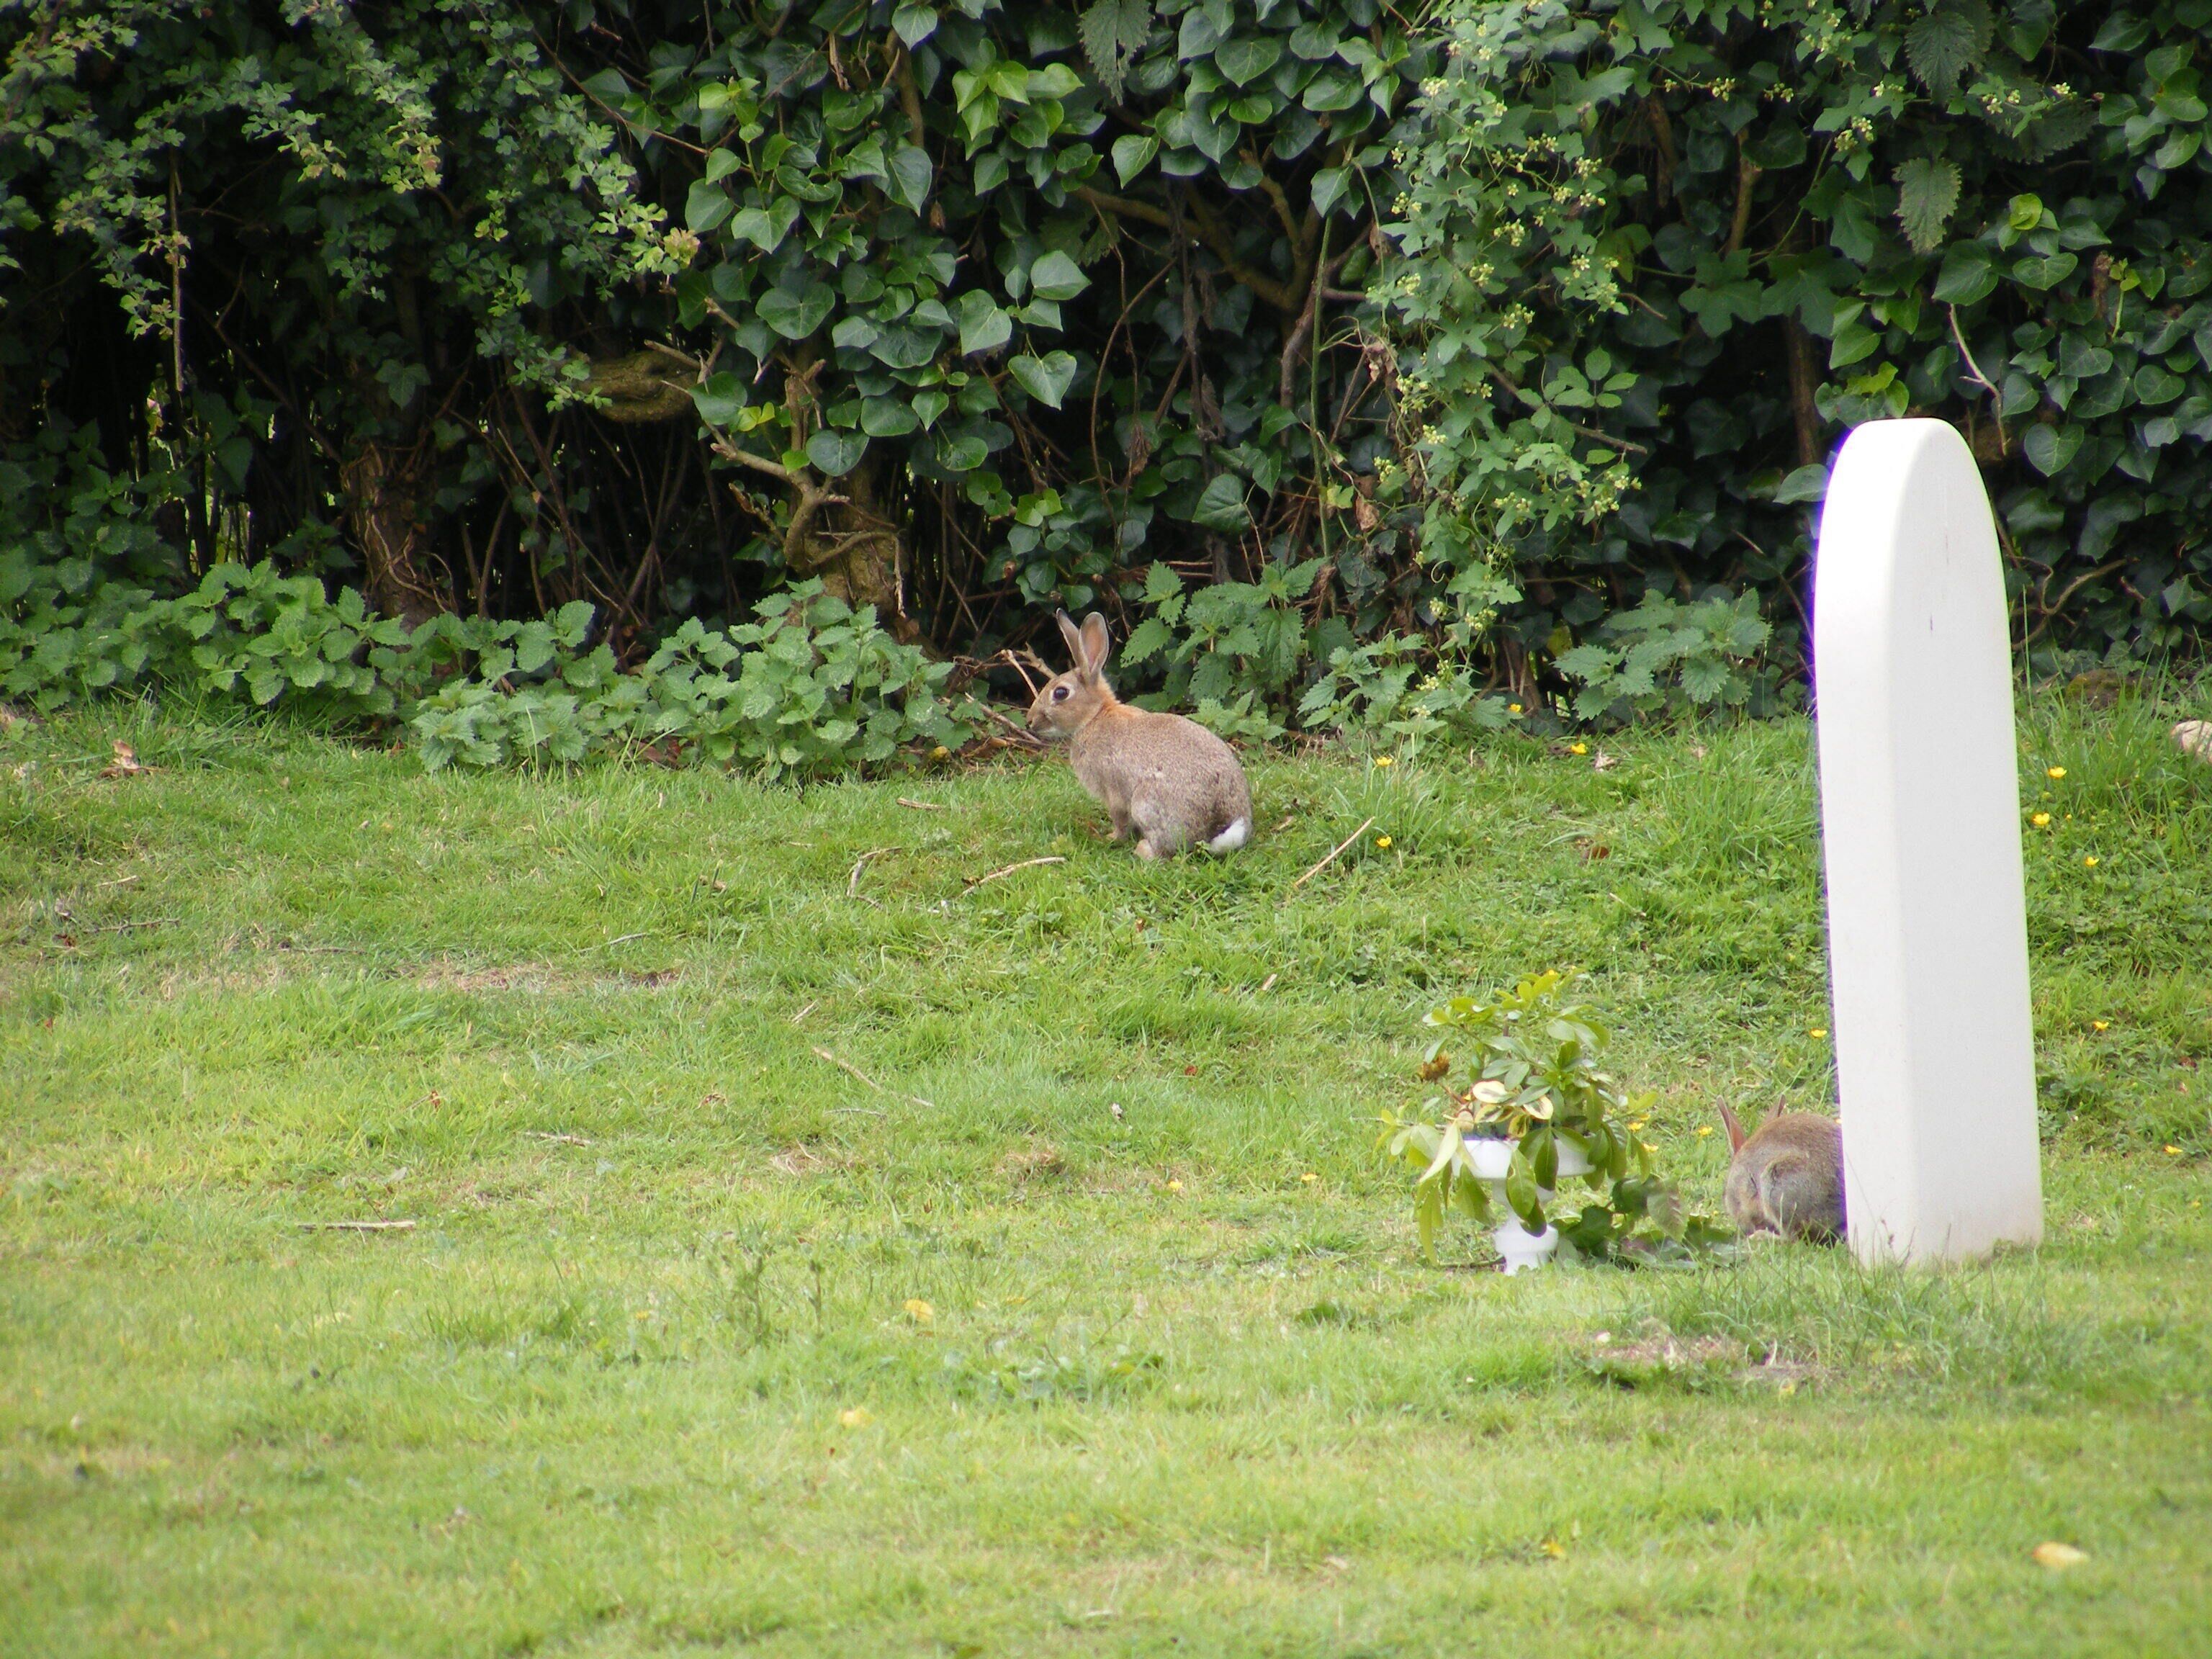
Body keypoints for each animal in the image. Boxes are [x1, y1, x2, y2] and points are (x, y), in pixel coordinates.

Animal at [1025, 610, 1253, 859]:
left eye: (1061, 693)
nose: (1030, 721)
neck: (1094, 717)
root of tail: (1221, 826)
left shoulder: (1113, 793)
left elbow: (1119, 820)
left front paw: (1111, 837)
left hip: (1145, 803)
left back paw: (1142, 850)